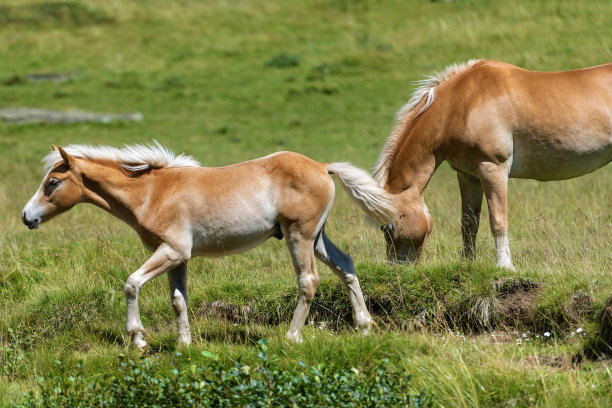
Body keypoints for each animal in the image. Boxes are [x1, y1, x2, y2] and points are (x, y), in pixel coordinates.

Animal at [21, 143, 394, 348]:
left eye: (53, 182)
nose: (27, 216)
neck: (151, 192)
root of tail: (321, 166)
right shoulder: (177, 258)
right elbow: (178, 300)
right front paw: (183, 344)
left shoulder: (171, 251)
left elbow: (131, 284)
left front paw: (137, 339)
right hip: (316, 237)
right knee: (345, 265)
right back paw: (364, 326)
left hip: (299, 236)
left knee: (308, 280)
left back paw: (291, 337)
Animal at [372, 59, 612, 268]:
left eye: (387, 228)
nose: (395, 268)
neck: (461, 103)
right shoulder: (468, 175)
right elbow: (469, 223)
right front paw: (468, 263)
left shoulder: (492, 168)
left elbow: (498, 221)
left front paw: (505, 266)